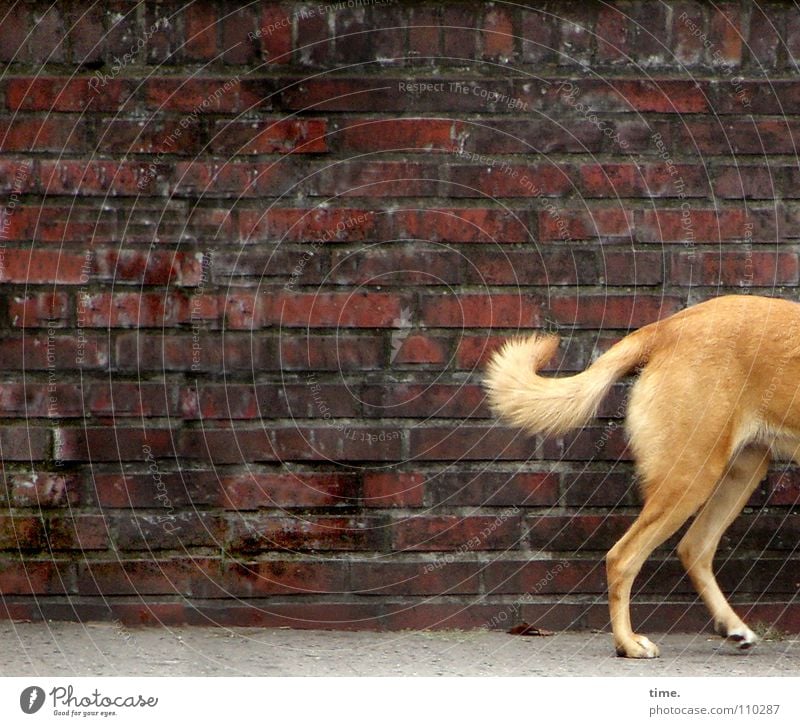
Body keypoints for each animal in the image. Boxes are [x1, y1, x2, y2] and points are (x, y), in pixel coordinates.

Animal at [484, 296, 796, 660]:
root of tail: (667, 328)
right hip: (691, 474)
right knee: (622, 557)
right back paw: (628, 643)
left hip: (739, 473)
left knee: (694, 548)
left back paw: (731, 627)